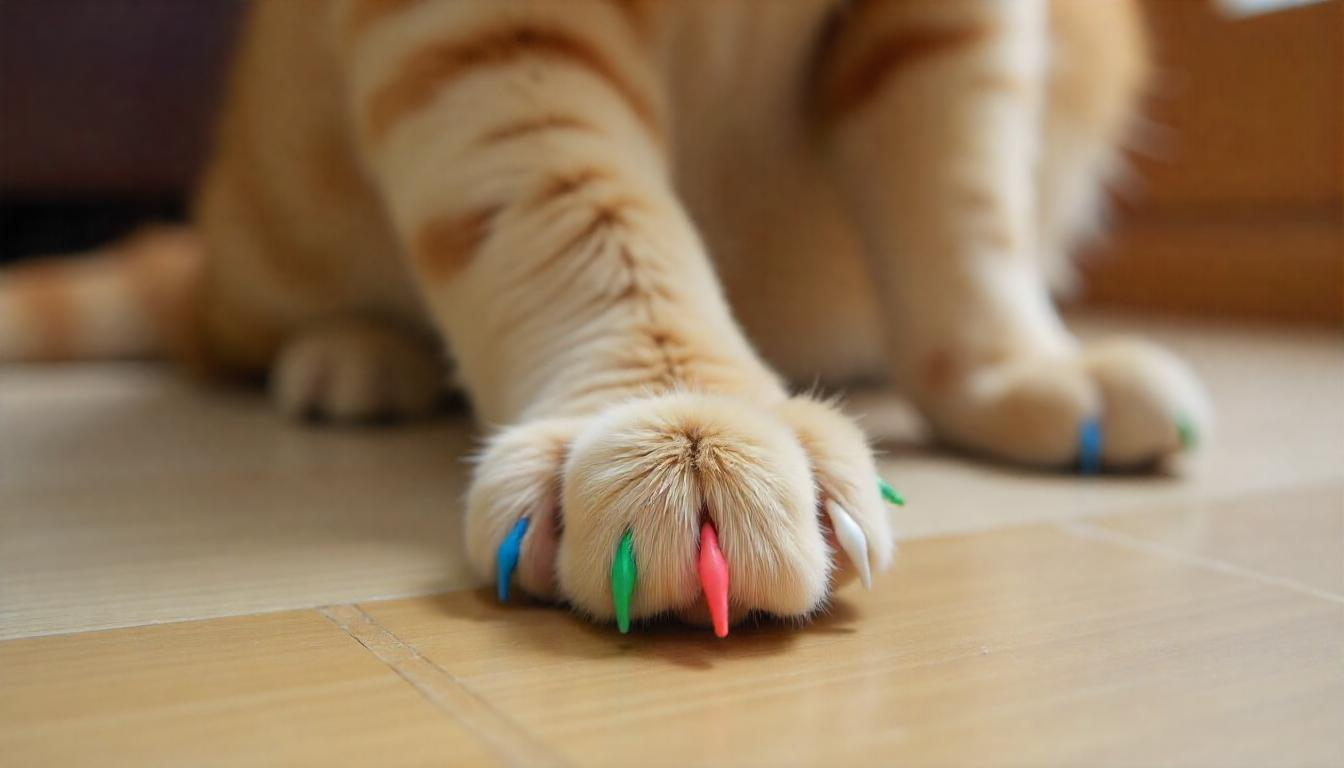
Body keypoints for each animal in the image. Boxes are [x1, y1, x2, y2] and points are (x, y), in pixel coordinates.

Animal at [0, 1, 1220, 632]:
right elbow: (573, 200)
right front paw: (678, 409)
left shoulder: (957, 29)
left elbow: (963, 200)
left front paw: (1012, 371)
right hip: (278, 217)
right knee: (211, 330)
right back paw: (354, 352)